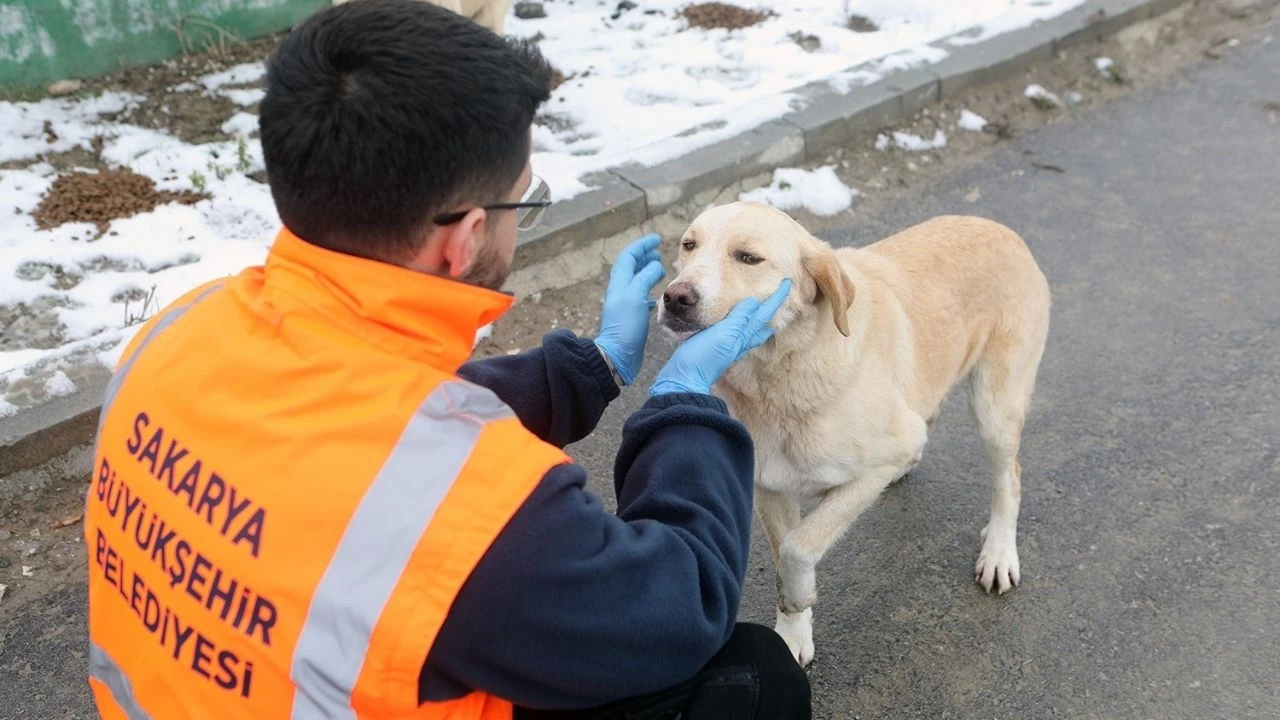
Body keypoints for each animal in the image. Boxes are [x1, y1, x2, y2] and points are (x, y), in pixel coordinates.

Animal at [660, 198, 1049, 666]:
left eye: (748, 258)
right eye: (689, 245)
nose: (674, 297)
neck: (782, 375)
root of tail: (1002, 229)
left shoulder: (871, 469)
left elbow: (799, 547)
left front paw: (800, 594)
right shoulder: (771, 486)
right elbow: (784, 551)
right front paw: (791, 633)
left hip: (995, 408)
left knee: (1010, 477)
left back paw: (999, 550)